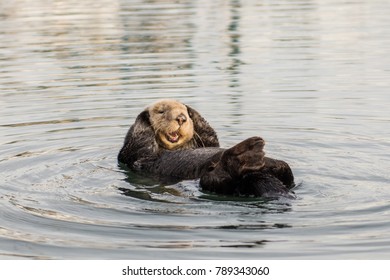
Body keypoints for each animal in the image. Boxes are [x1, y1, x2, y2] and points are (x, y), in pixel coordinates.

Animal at [117, 99, 294, 198]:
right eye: (161, 112)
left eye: (183, 113)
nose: (181, 118)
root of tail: (254, 175)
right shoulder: (134, 153)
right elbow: (140, 141)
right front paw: (144, 117)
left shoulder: (209, 141)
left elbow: (210, 135)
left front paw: (190, 109)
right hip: (215, 182)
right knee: (216, 179)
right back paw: (244, 155)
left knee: (286, 172)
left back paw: (267, 161)